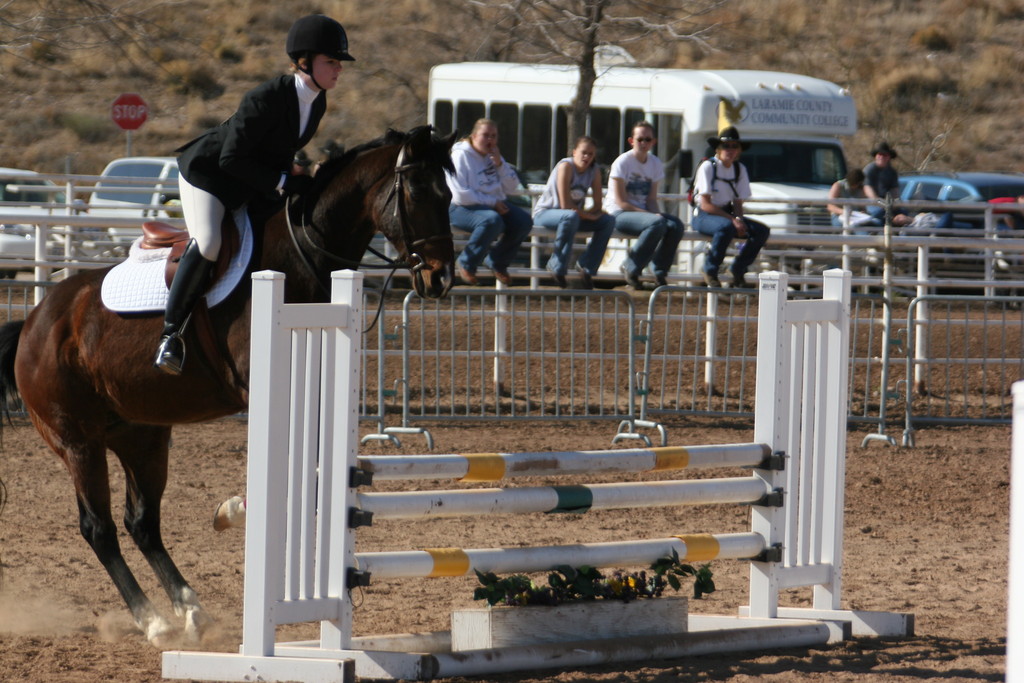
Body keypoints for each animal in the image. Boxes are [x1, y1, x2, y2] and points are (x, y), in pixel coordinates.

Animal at [0, 124, 456, 647]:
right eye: (417, 191)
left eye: (449, 194)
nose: (441, 279)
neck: (302, 252)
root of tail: (34, 322)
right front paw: (234, 509)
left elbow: (318, 468)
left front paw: (235, 510)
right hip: (78, 442)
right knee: (99, 528)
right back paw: (154, 621)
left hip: (142, 436)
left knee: (143, 524)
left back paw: (192, 612)